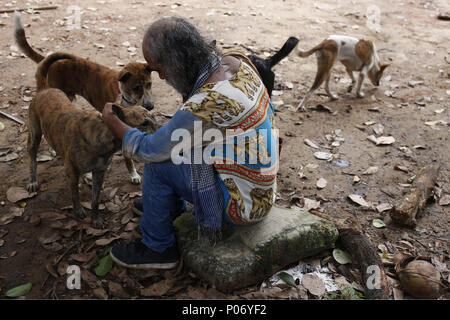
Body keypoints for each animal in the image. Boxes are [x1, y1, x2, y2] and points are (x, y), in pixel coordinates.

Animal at [14, 11, 155, 184]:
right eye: (136, 88)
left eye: (149, 84)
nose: (150, 106)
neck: (125, 95)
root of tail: (52, 62)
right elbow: (128, 158)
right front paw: (133, 174)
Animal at [26, 88, 157, 228]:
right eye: (144, 123)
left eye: (153, 117)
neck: (103, 134)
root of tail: (45, 90)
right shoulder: (72, 170)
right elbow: (75, 195)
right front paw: (78, 210)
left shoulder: (99, 172)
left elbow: (95, 200)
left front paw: (95, 219)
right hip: (34, 136)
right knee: (32, 159)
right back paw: (32, 181)